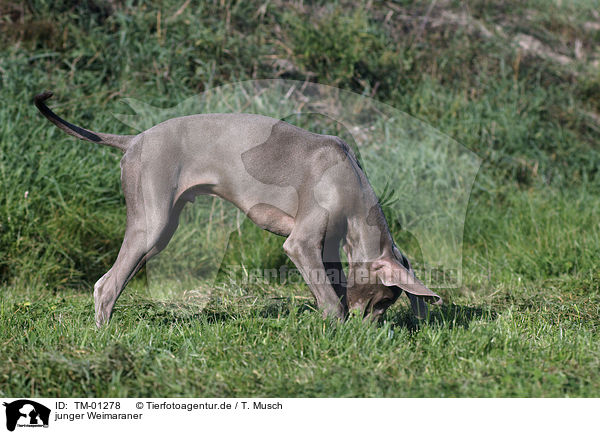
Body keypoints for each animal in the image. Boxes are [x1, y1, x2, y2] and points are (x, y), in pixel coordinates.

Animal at [36, 92, 440, 328]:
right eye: (382, 300)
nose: (369, 332)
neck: (351, 181)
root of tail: (134, 140)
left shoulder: (328, 249)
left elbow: (334, 287)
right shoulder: (301, 242)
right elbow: (332, 301)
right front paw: (337, 332)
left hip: (156, 231)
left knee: (113, 280)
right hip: (152, 222)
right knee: (106, 285)